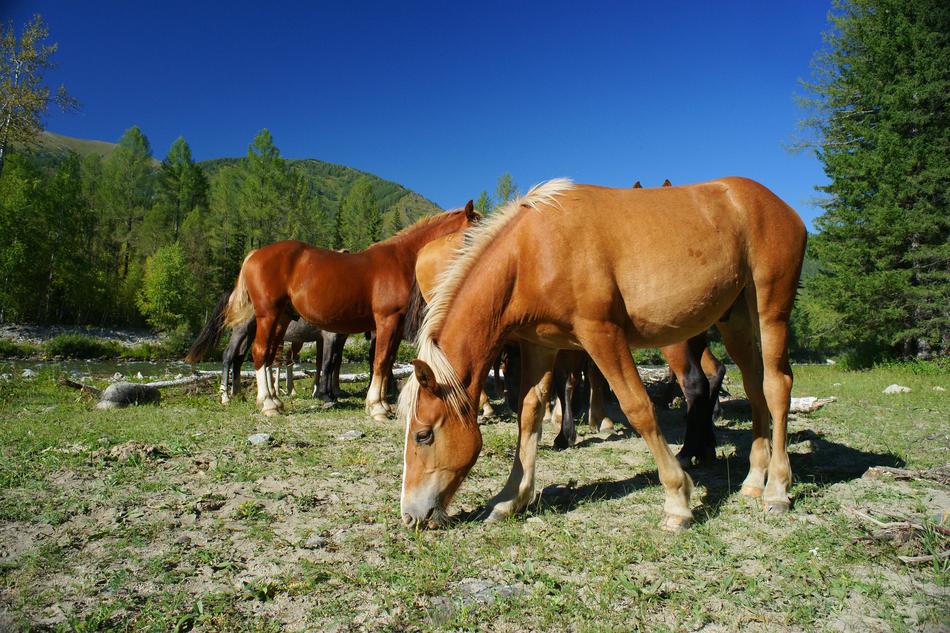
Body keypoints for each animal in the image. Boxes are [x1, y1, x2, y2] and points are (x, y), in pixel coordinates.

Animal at [194, 203, 480, 419]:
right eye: (472, 231)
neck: (402, 259)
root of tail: (254, 254)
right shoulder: (385, 321)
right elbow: (379, 360)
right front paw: (376, 407)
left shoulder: (394, 325)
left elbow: (386, 361)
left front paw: (382, 403)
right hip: (267, 316)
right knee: (257, 352)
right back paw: (265, 403)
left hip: (281, 319)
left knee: (268, 355)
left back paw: (274, 401)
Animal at [399, 177, 806, 531]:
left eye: (423, 436)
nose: (410, 515)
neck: (534, 250)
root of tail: (779, 205)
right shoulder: (541, 346)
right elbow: (529, 415)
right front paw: (511, 498)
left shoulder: (601, 335)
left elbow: (638, 408)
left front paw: (678, 501)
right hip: (736, 320)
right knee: (754, 389)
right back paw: (753, 480)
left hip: (770, 311)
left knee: (777, 387)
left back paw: (777, 489)